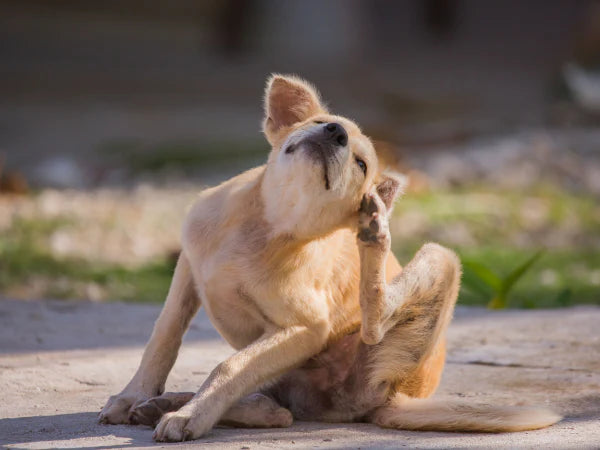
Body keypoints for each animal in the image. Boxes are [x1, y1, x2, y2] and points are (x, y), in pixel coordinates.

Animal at [98, 74, 564, 440]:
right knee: (276, 407)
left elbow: (229, 367)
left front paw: (191, 417)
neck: (266, 225)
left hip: (439, 263)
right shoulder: (187, 270)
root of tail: (397, 396)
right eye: (323, 124)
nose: (335, 133)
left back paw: (374, 234)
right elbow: (164, 337)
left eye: (361, 164)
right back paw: (167, 404)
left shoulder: (305, 327)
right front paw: (134, 395)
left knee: (360, 335)